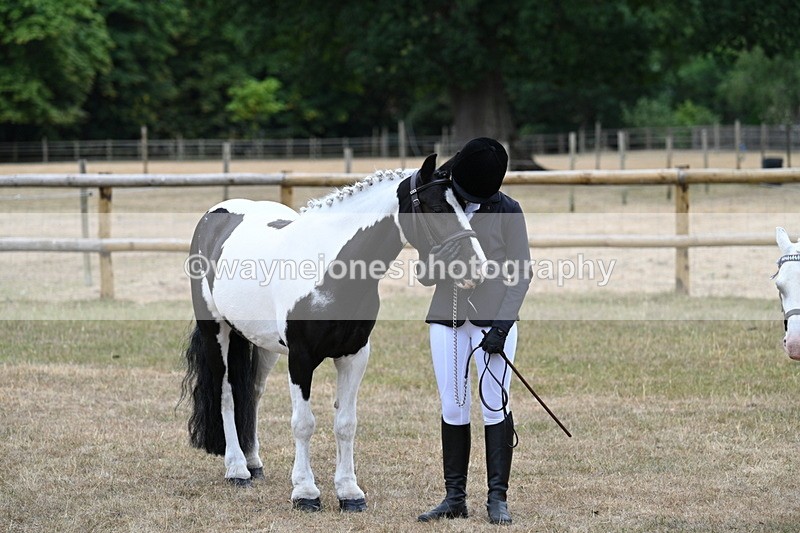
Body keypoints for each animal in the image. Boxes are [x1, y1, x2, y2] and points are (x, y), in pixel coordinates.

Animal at [181, 153, 486, 512]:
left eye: (464, 206)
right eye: (437, 207)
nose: (477, 269)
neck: (329, 270)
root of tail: (215, 216)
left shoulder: (354, 355)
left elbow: (346, 424)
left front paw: (349, 492)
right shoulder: (300, 358)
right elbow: (303, 424)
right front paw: (305, 492)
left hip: (263, 343)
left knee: (252, 393)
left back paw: (254, 462)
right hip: (218, 331)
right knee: (227, 393)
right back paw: (237, 469)